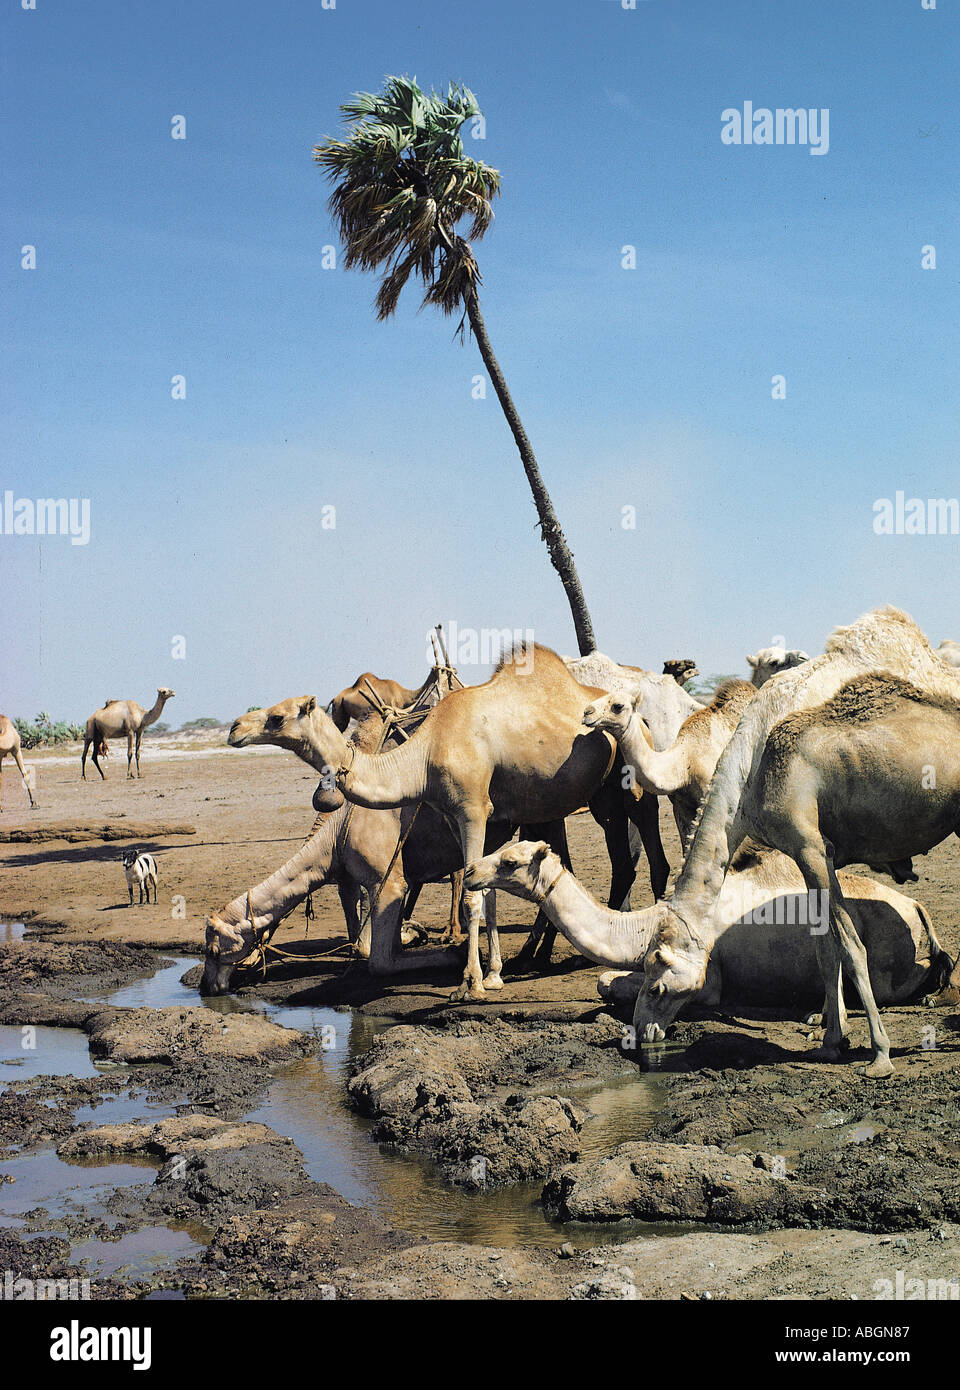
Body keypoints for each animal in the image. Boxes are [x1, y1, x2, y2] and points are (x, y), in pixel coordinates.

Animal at [229, 644, 672, 1006]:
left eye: (276, 717)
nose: (235, 728)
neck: (422, 755)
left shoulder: (473, 807)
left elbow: (472, 897)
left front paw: (470, 984)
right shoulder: (457, 814)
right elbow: (484, 888)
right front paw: (494, 975)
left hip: (631, 784)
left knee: (651, 856)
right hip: (592, 798)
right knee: (619, 860)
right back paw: (546, 954)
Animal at [466, 839, 955, 1017]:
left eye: (509, 862)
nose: (470, 872)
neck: (646, 924)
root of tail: (916, 906)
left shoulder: (705, 974)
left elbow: (613, 985)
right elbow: (604, 981)